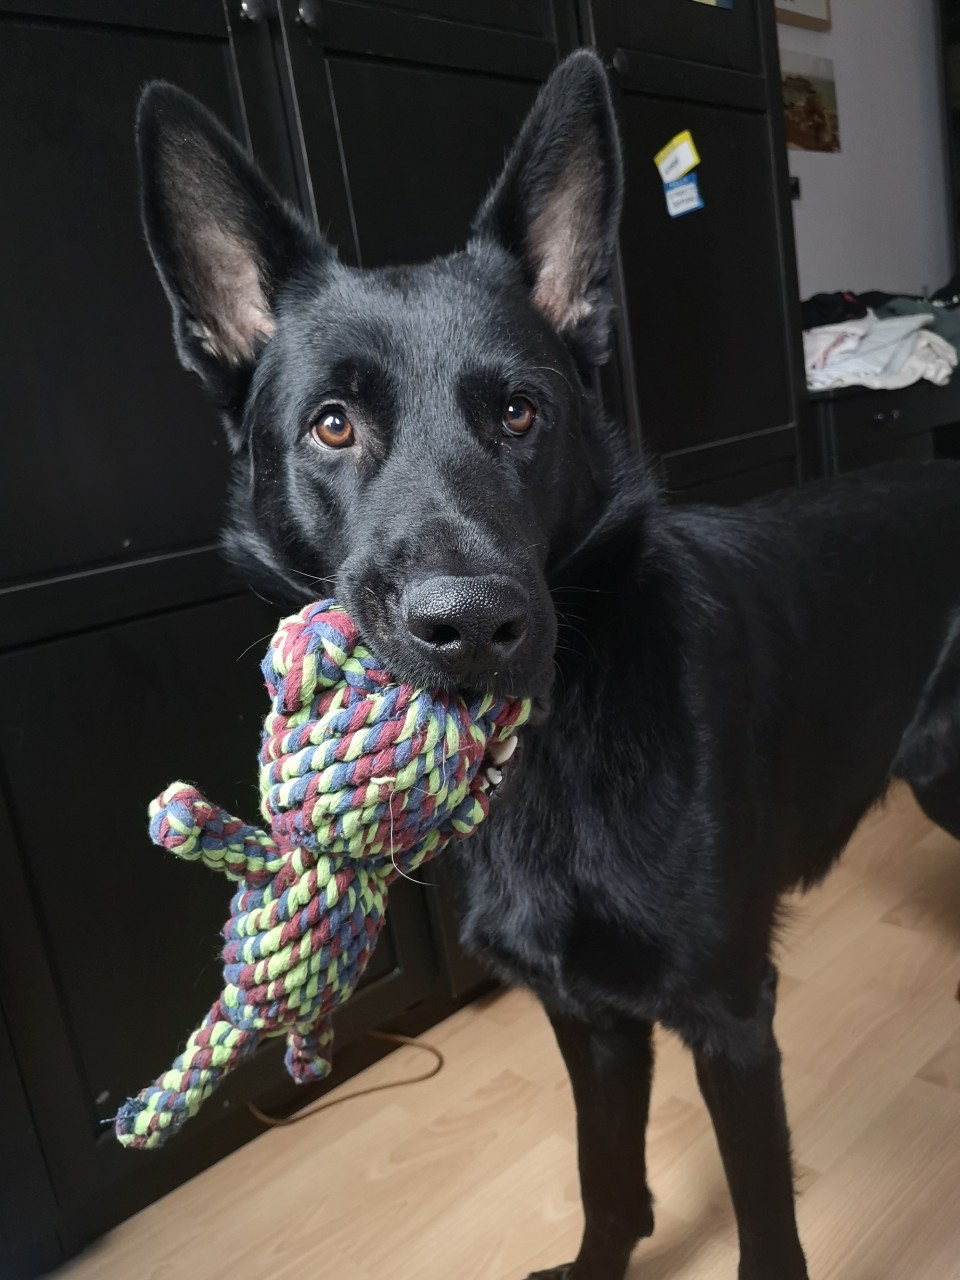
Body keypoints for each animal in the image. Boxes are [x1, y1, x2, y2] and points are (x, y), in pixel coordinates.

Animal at [136, 51, 960, 1280]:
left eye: (521, 412)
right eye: (332, 426)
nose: (473, 625)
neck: (553, 759)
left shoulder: (731, 1015)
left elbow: (765, 1216)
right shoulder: (588, 1014)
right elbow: (607, 1174)